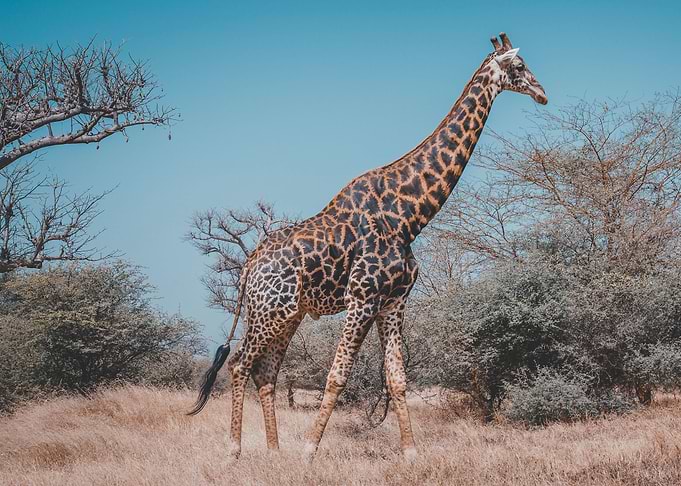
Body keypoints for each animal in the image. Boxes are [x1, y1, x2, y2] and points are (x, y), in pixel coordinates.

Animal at [189, 32, 547, 461]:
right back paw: (235, 449)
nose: (543, 94)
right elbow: (337, 376)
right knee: (240, 363)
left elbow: (397, 378)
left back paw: (274, 451)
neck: (409, 216)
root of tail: (247, 267)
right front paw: (308, 450)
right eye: (519, 66)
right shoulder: (362, 298)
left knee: (266, 372)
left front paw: (410, 453)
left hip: (288, 315)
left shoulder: (393, 301)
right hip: (269, 312)